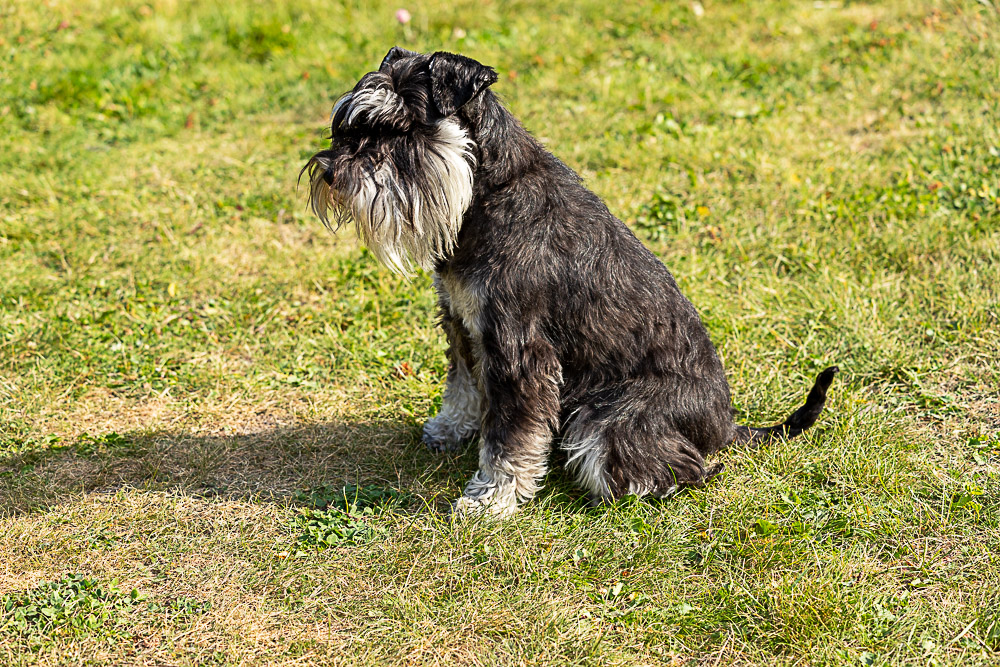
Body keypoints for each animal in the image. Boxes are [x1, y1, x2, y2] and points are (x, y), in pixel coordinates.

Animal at [302, 47, 838, 516]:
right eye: (347, 125)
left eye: (400, 130)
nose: (331, 172)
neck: (485, 191)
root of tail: (725, 426)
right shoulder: (462, 323)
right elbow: (463, 385)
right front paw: (451, 429)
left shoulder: (519, 350)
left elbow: (510, 437)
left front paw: (491, 499)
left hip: (610, 417)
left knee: (685, 467)